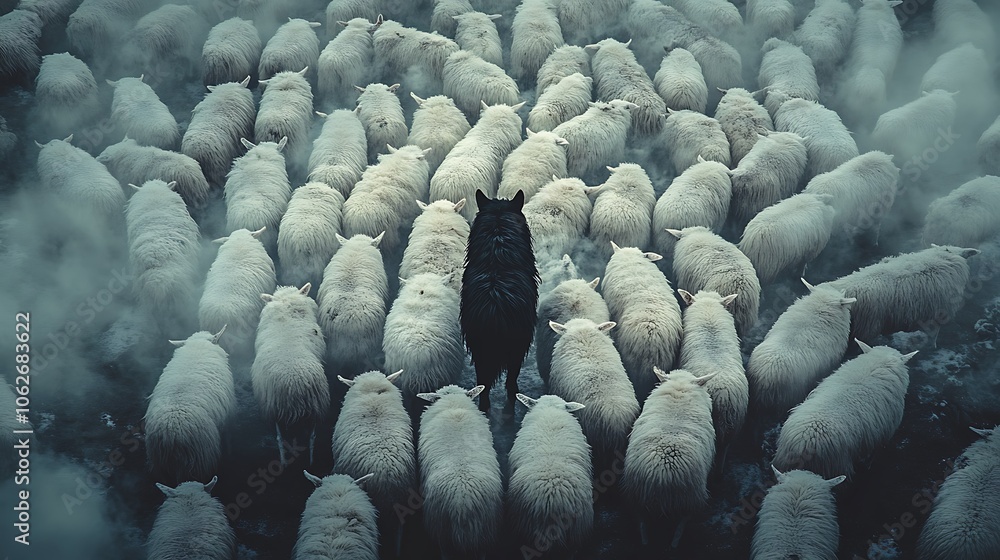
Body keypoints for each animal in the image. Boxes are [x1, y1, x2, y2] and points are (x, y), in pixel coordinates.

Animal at [252, 284, 329, 465]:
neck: (286, 314)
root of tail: (295, 384)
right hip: (299, 407)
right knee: (306, 437)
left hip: (283, 407)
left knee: (288, 438)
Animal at [620, 368, 715, 547]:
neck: (679, 392)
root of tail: (663, 473)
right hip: (690, 497)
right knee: (682, 523)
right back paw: (674, 544)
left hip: (639, 494)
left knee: (642, 523)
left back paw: (645, 542)